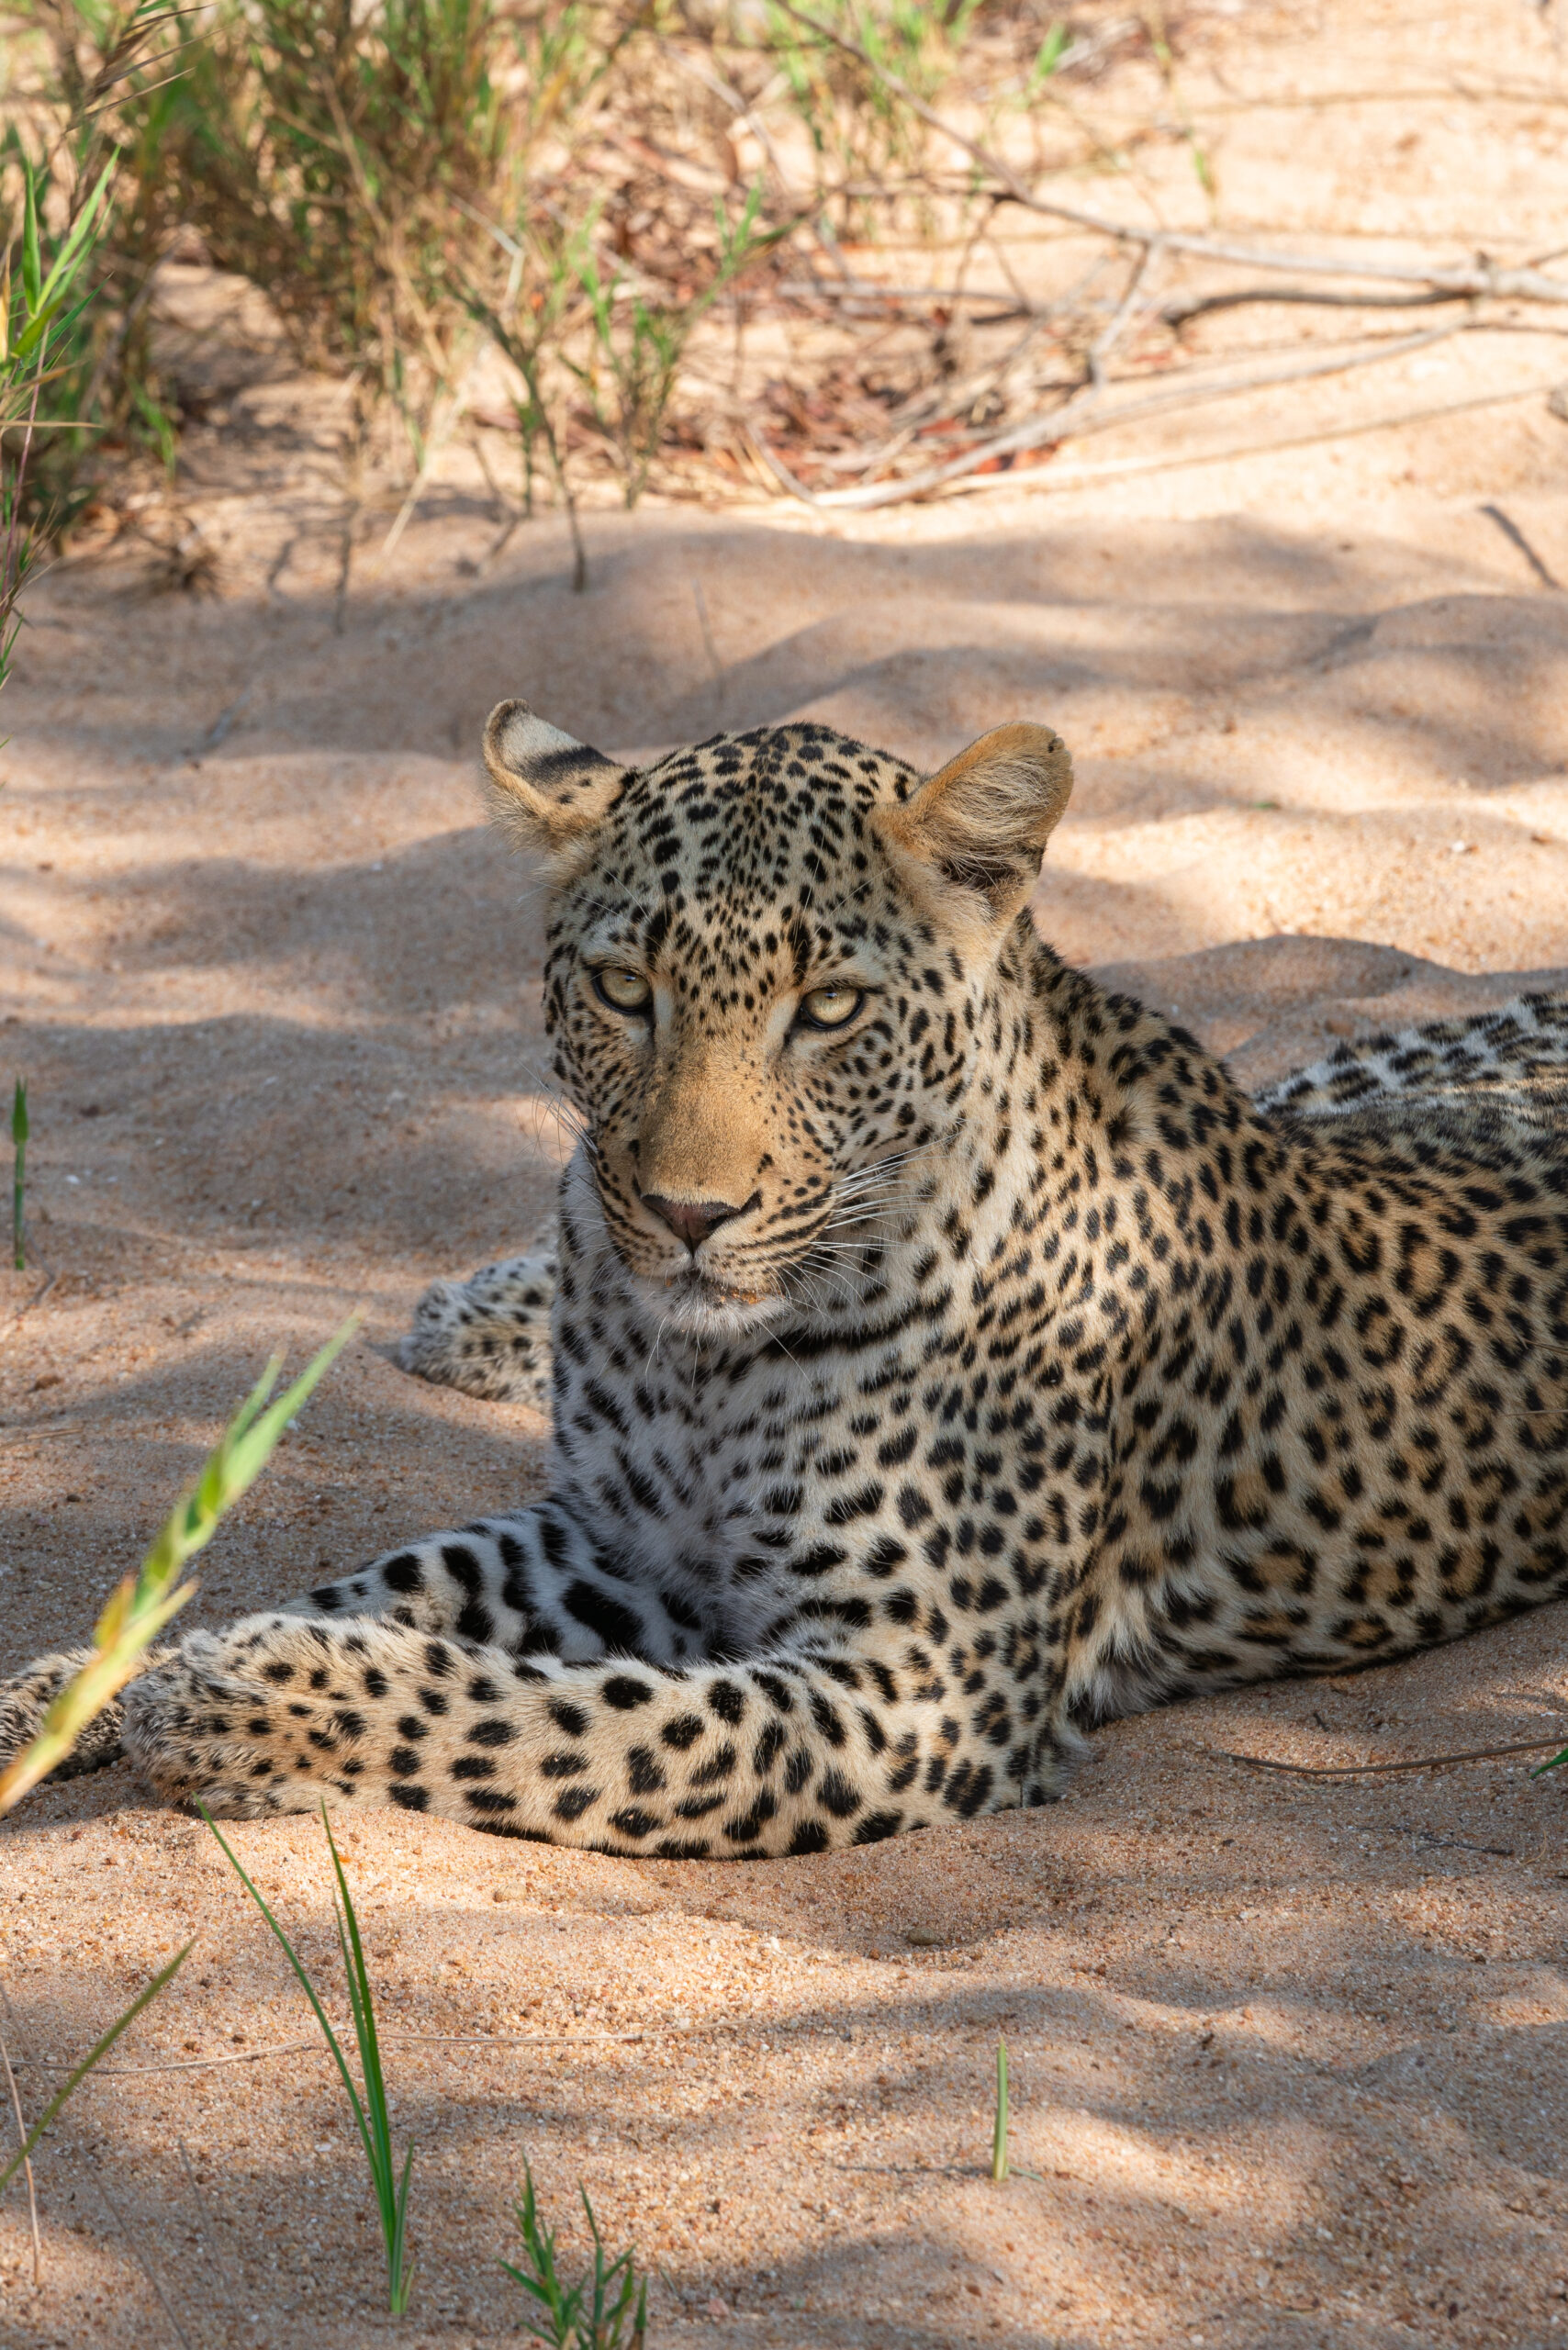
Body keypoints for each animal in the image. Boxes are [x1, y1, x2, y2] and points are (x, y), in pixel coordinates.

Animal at [0, 695, 1561, 1852]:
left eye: (831, 1010)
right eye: (625, 990)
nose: (685, 1213)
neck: (701, 1359)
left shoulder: (914, 1691)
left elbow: (560, 1719)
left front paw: (241, 1698)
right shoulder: (613, 1542)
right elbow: (370, 1581)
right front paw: (65, 1693)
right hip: (1341, 1073)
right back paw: (481, 1309)